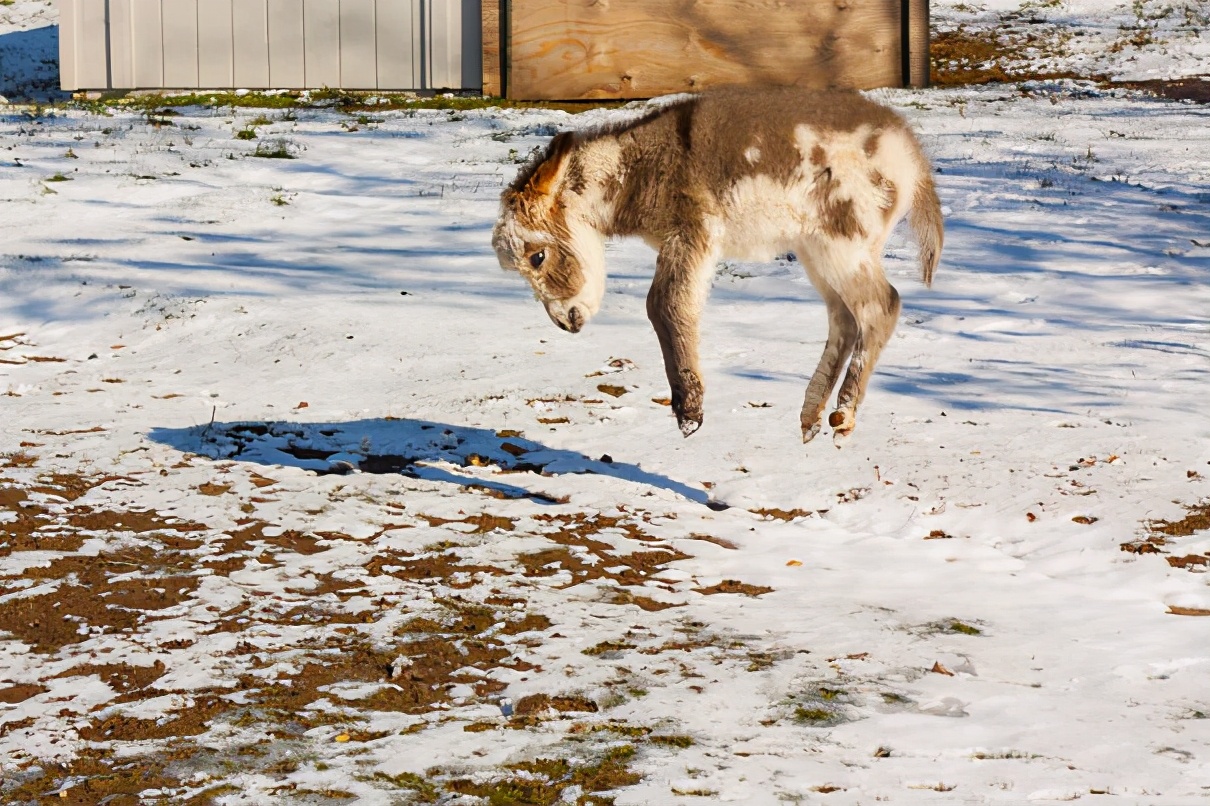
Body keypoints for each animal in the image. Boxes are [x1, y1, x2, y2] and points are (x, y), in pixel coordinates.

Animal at [493, 85, 943, 442]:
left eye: (537, 256)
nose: (565, 322)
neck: (644, 166)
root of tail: (912, 155)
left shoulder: (694, 230)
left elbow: (664, 305)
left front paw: (689, 412)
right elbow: (667, 305)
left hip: (842, 242)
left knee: (881, 306)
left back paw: (844, 413)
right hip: (817, 251)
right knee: (846, 319)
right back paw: (812, 415)